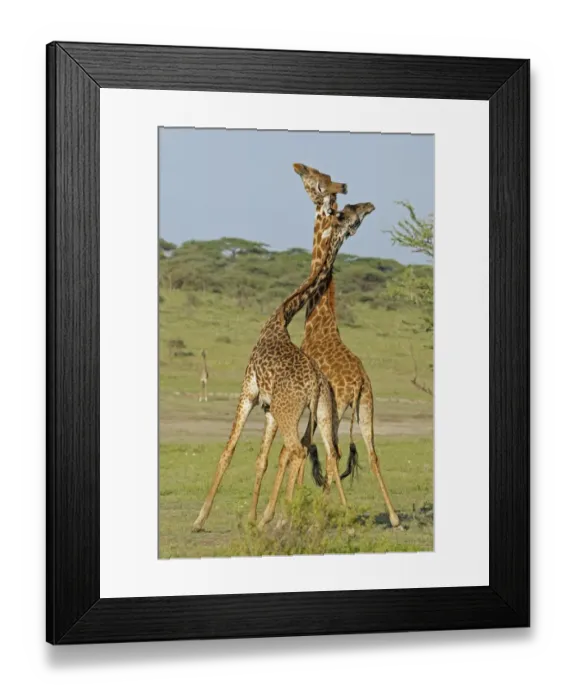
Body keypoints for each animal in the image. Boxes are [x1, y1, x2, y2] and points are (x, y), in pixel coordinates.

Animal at [191, 202, 375, 532]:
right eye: (347, 213)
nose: (368, 207)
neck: (281, 316)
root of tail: (314, 384)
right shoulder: (268, 408)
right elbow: (261, 459)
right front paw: (252, 519)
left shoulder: (249, 391)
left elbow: (228, 451)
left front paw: (200, 519)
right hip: (323, 412)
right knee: (330, 452)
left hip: (290, 411)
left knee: (299, 450)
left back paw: (285, 518)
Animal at [292, 163, 401, 529]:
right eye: (347, 209)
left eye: (314, 180)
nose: (368, 205)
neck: (317, 322)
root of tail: (358, 383)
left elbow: (303, 447)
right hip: (367, 405)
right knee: (372, 452)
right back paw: (394, 517)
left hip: (338, 408)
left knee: (332, 452)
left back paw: (324, 513)